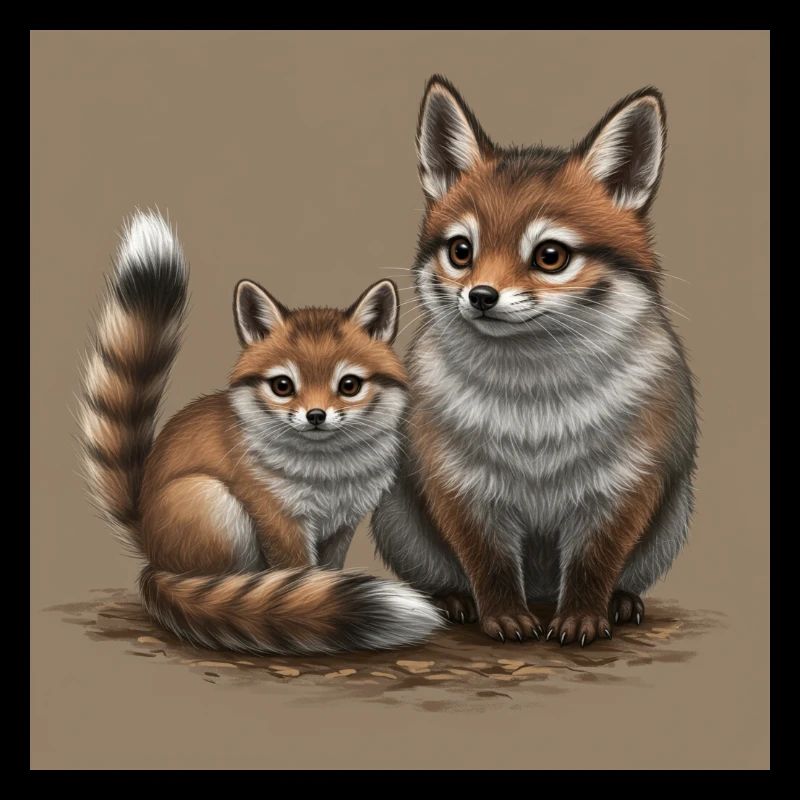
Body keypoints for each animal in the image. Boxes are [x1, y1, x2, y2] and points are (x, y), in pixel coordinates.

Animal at [78, 209, 442, 655]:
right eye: (283, 385)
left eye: (349, 385)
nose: (316, 415)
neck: (329, 471)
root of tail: (146, 534)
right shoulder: (277, 518)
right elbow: (299, 574)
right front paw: (303, 604)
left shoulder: (342, 523)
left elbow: (326, 571)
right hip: (214, 503)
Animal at [371, 76, 699, 647]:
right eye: (461, 251)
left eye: (550, 256)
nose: (481, 296)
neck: (534, 407)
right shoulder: (463, 486)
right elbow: (491, 565)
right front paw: (503, 616)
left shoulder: (622, 486)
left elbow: (593, 564)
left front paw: (584, 615)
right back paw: (453, 600)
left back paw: (620, 600)